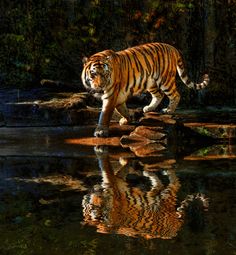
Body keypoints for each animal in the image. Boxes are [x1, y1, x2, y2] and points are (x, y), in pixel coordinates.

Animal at [81, 42, 210, 137]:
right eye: (93, 74)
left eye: (105, 74)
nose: (101, 86)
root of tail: (172, 47)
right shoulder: (118, 96)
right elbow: (122, 109)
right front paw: (127, 119)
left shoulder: (110, 95)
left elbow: (105, 114)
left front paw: (100, 131)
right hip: (150, 82)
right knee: (159, 95)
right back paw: (149, 108)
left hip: (165, 80)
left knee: (175, 94)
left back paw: (168, 110)